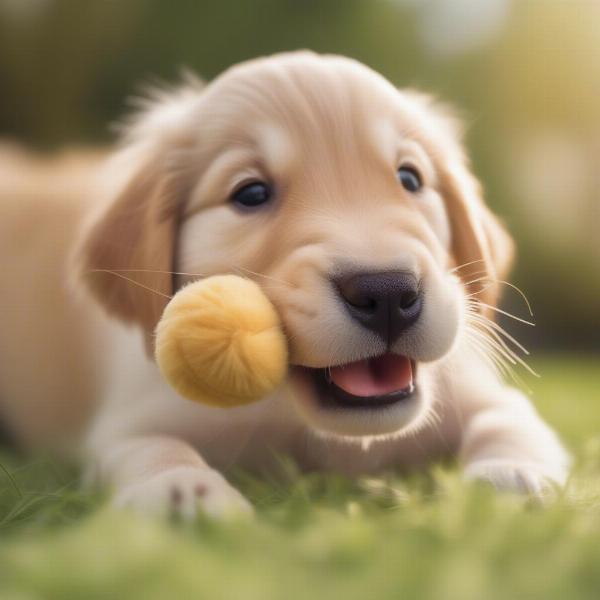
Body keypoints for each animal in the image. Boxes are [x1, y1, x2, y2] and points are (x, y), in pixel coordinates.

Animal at [0, 54, 568, 516]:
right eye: (251, 193)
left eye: (410, 179)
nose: (387, 292)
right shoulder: (131, 414)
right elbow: (147, 447)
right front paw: (181, 489)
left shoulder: (471, 390)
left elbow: (509, 422)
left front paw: (515, 475)